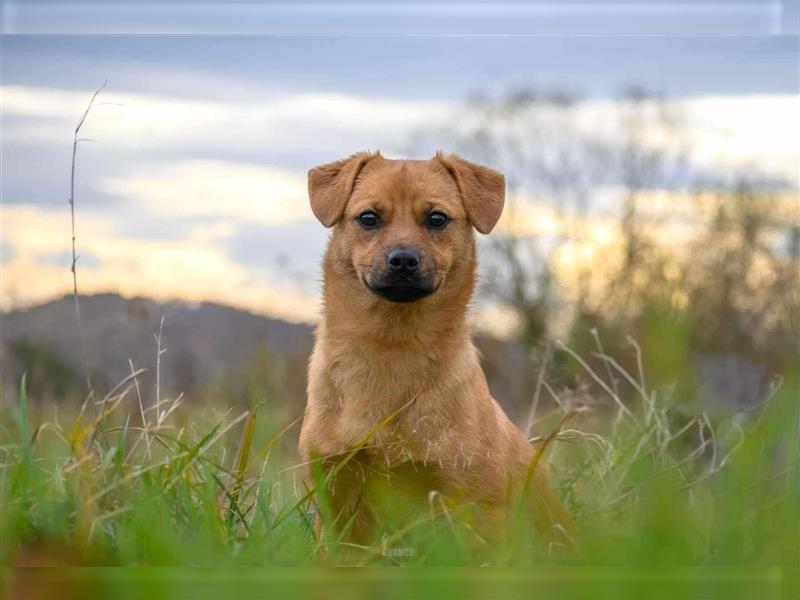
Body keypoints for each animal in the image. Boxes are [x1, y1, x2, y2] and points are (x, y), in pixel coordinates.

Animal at [296, 152, 572, 552]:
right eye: (368, 217)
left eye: (437, 218)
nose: (403, 259)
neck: (392, 350)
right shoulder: (337, 497)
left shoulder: (474, 504)